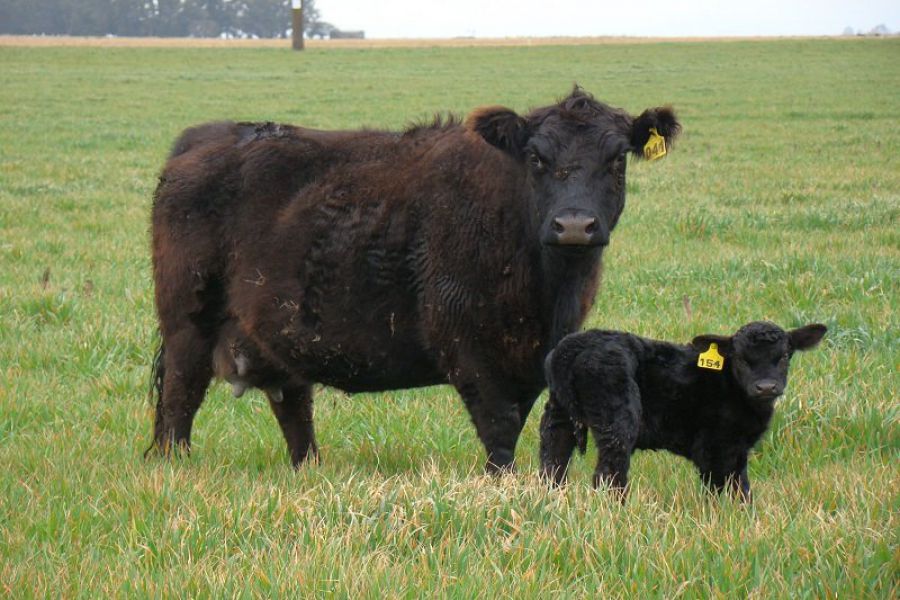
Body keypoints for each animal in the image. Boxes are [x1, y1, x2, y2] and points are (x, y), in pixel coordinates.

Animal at [149, 86, 684, 472]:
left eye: (616, 158)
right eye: (537, 158)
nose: (574, 225)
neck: (547, 291)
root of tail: (209, 136)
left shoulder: (535, 357)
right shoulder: (469, 351)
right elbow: (500, 431)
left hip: (279, 333)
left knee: (294, 407)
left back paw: (310, 469)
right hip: (188, 326)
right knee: (179, 399)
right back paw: (175, 466)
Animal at [536, 322, 828, 500]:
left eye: (784, 356)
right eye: (741, 359)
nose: (766, 387)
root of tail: (572, 348)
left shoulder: (735, 449)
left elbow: (739, 487)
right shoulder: (715, 446)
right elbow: (727, 489)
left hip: (558, 414)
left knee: (553, 461)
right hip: (617, 416)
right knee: (608, 473)